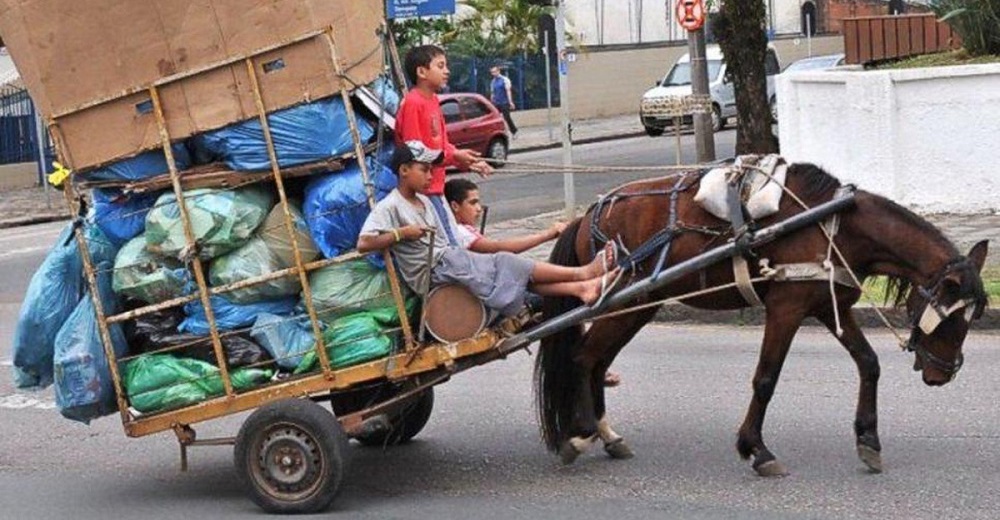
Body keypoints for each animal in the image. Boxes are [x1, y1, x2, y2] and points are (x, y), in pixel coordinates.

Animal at [536, 162, 988, 476]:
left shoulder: (829, 307)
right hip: (622, 302)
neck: (834, 224)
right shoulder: (786, 308)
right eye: (952, 319)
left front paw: (869, 441)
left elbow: (869, 364)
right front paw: (756, 449)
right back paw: (580, 434)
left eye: (973, 317)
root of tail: (587, 216)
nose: (942, 375)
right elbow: (766, 379)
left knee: (598, 362)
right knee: (583, 358)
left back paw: (607, 435)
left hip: (638, 306)